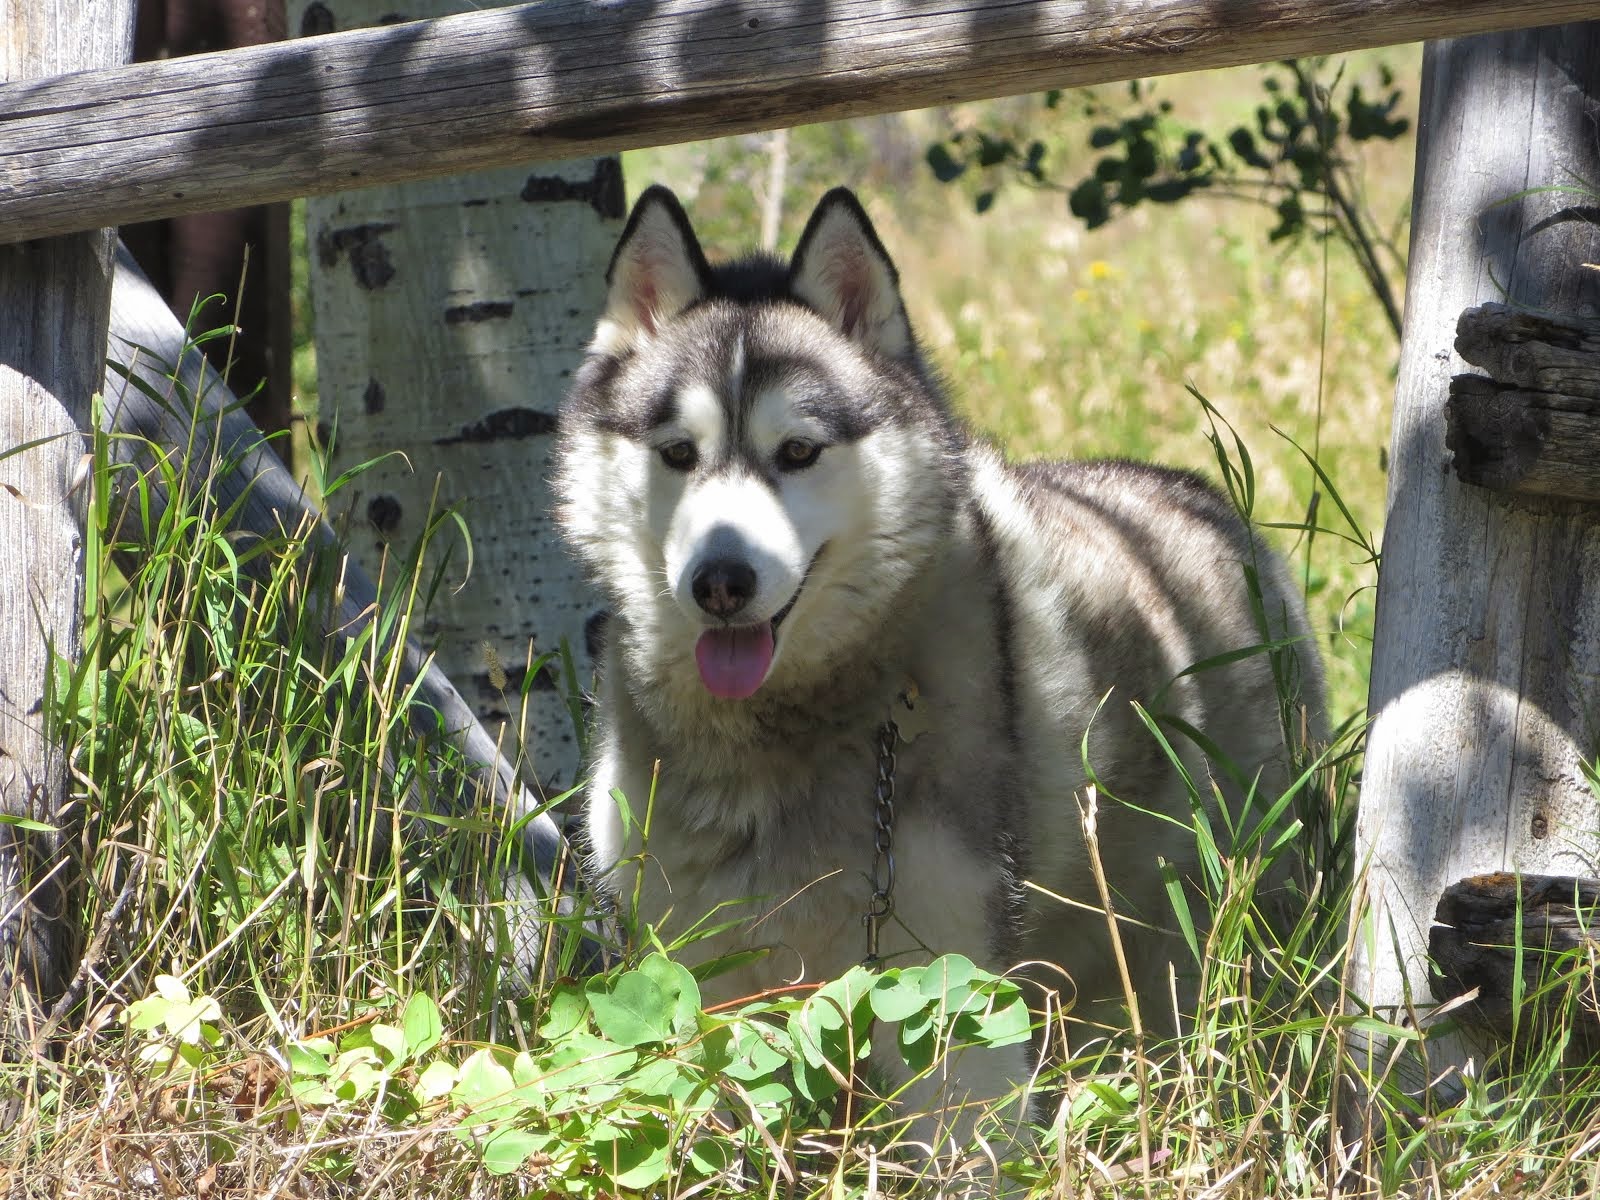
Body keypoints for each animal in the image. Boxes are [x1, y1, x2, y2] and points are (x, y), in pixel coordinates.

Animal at [550, 188, 1324, 1145]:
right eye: (677, 454)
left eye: (797, 452)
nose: (720, 581)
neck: (774, 741)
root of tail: (1209, 498)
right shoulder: (705, 984)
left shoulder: (948, 986)